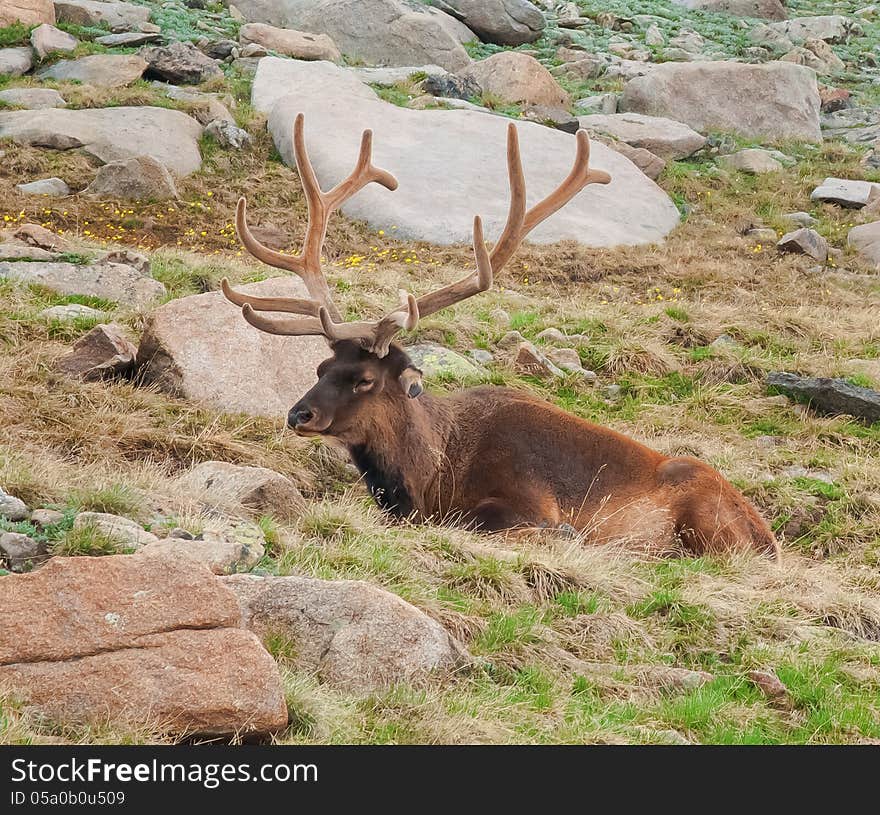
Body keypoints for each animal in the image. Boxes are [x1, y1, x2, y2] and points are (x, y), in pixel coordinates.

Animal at [223, 115, 780, 556]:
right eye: (321, 367)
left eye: (364, 379)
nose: (299, 414)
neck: (430, 476)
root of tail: (768, 537)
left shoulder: (527, 495)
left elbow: (488, 521)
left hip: (708, 519)